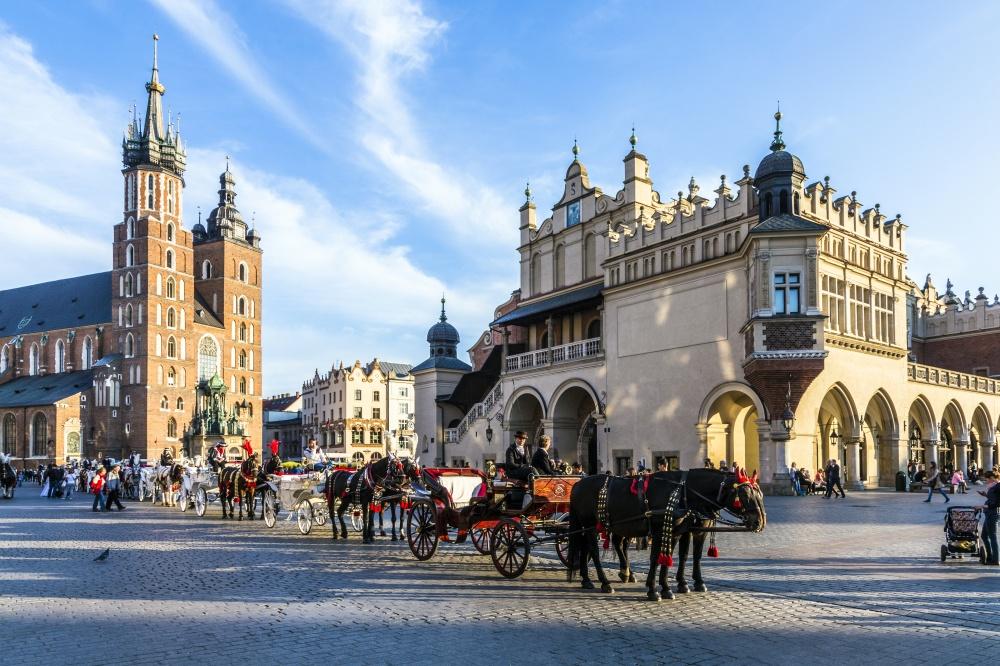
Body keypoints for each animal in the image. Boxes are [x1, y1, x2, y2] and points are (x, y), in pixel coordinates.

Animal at [572, 464, 764, 600]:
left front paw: (670, 587)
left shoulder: (680, 531)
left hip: (603, 526)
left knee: (594, 547)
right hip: (590, 525)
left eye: (759, 494)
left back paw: (591, 578)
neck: (683, 492)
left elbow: (680, 556)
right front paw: (653, 590)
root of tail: (578, 484)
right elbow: (658, 558)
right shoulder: (662, 531)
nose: (759, 522)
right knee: (593, 551)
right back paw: (605, 583)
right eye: (744, 495)